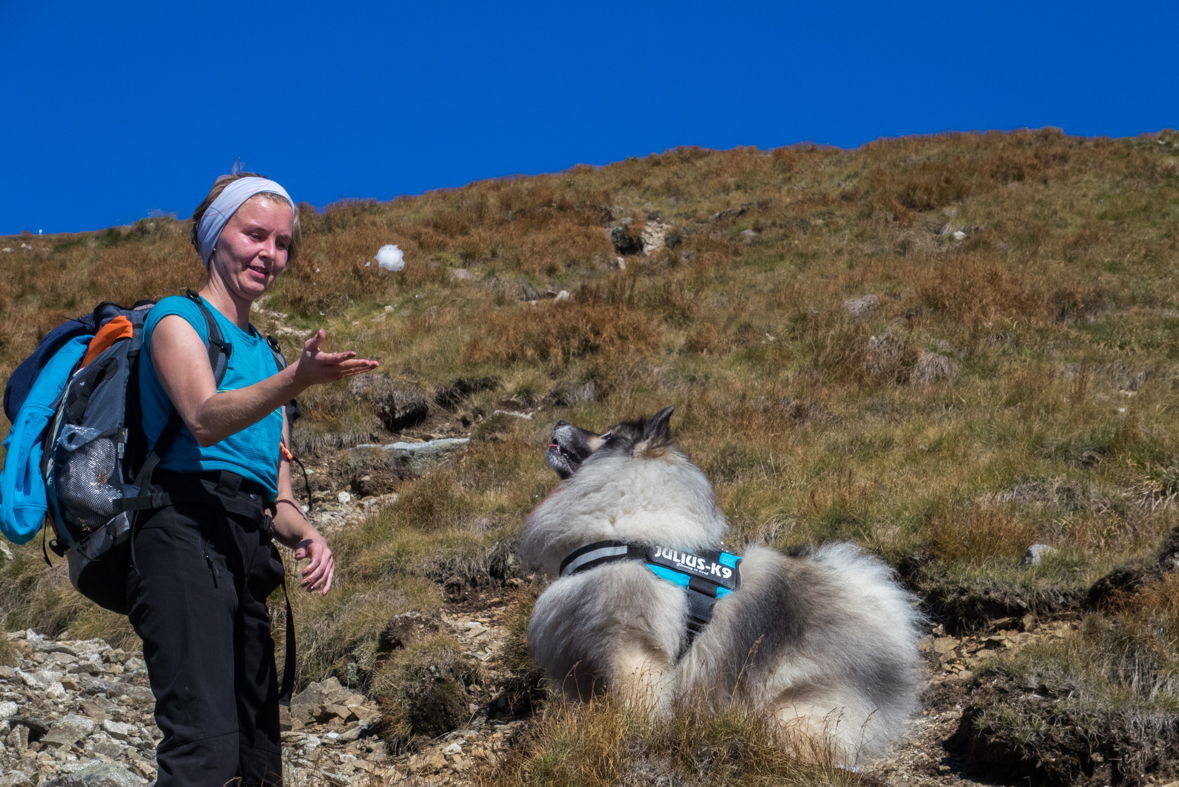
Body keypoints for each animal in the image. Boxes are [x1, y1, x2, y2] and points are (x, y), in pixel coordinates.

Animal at [521, 409, 924, 758]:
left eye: (606, 435)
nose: (558, 421)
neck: (626, 533)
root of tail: (888, 627)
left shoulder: (631, 648)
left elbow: (637, 707)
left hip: (789, 714)